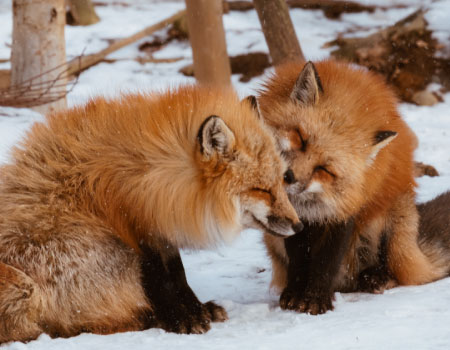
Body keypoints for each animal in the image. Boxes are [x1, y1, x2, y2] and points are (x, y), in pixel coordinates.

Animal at [0, 85, 302, 344]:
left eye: (282, 180)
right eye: (261, 190)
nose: (299, 226)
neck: (154, 175)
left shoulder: (160, 226)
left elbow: (178, 274)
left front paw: (196, 309)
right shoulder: (137, 228)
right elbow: (163, 280)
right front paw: (183, 318)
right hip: (103, 253)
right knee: (74, 324)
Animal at [251, 59, 450, 314]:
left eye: (324, 169)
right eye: (300, 138)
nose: (288, 177)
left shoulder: (346, 207)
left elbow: (326, 261)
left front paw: (315, 299)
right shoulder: (294, 216)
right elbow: (298, 260)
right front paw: (295, 294)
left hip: (394, 225)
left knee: (396, 273)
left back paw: (376, 278)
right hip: (272, 233)